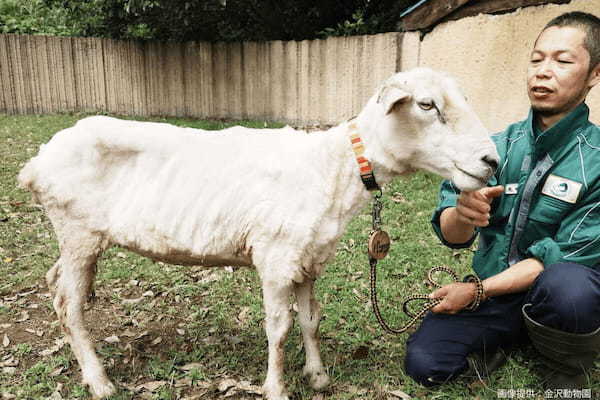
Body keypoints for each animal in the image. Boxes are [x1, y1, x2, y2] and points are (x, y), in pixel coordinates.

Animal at [17, 69, 496, 400]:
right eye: (427, 105)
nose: (491, 161)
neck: (335, 166)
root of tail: (37, 162)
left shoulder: (307, 258)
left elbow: (311, 318)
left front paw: (317, 376)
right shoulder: (276, 257)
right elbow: (279, 328)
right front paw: (276, 387)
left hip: (76, 239)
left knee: (55, 285)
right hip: (78, 232)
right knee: (68, 305)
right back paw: (99, 381)